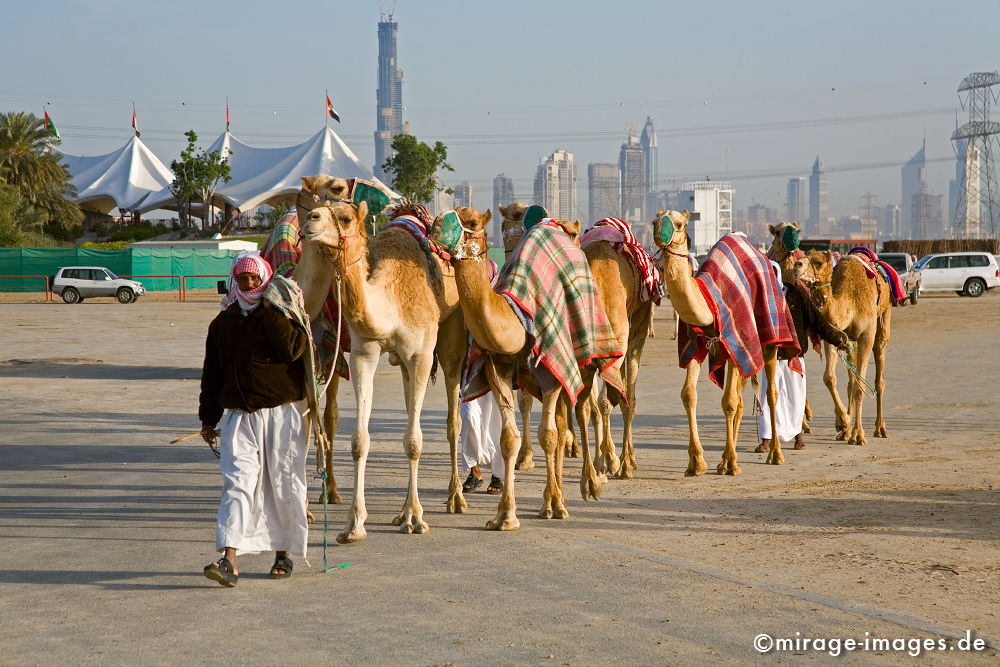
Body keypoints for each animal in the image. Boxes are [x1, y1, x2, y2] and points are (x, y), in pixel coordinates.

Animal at [300, 193, 468, 544]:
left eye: (346, 218)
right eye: (319, 209)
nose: (311, 219)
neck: (388, 301)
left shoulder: (421, 355)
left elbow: (414, 441)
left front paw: (415, 518)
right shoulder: (364, 351)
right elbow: (359, 440)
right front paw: (353, 525)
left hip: (451, 333)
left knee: (453, 418)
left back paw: (456, 498)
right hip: (401, 362)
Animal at [434, 206, 620, 528]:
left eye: (471, 221)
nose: (434, 225)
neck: (515, 319)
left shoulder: (550, 370)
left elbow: (549, 434)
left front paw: (552, 506)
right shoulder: (498, 368)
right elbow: (509, 438)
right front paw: (505, 516)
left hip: (582, 362)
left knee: (584, 411)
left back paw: (590, 484)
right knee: (563, 421)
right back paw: (560, 493)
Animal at [652, 210, 784, 474]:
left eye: (679, 224)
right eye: (655, 220)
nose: (658, 232)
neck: (708, 301)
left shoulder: (735, 342)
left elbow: (729, 402)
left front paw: (732, 464)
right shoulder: (696, 344)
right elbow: (688, 395)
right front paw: (697, 463)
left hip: (767, 342)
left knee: (770, 392)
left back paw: (774, 454)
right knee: (742, 397)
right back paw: (723, 460)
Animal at [796, 248, 892, 446]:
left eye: (818, 262)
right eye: (804, 256)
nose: (796, 265)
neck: (850, 300)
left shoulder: (866, 335)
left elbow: (860, 388)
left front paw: (860, 435)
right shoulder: (836, 334)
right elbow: (830, 378)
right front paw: (843, 423)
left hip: (884, 318)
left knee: (879, 377)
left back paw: (880, 429)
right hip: (851, 343)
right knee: (851, 381)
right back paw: (847, 433)